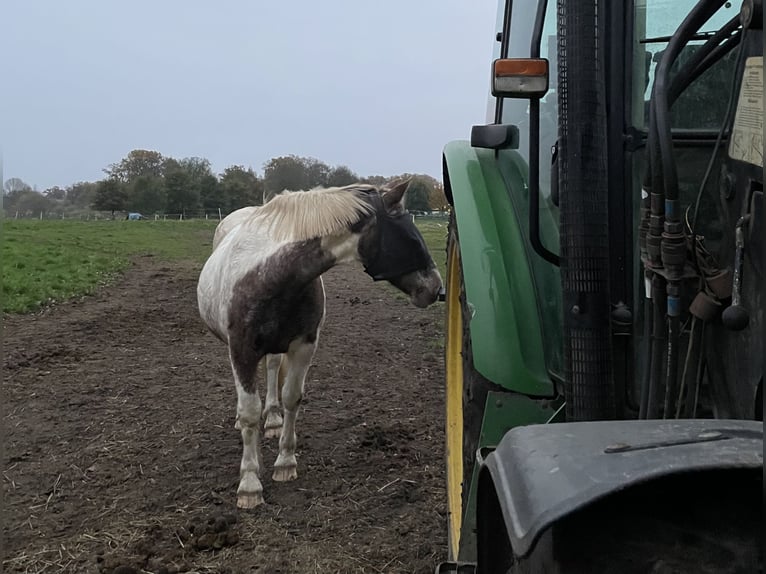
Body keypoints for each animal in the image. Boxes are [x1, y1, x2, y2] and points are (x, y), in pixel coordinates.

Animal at [197, 181, 442, 509]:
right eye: (411, 237)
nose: (436, 288)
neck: (270, 273)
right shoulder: (242, 350)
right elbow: (249, 411)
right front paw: (249, 484)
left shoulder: (303, 345)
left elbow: (291, 398)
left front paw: (285, 462)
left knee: (272, 369)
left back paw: (272, 419)